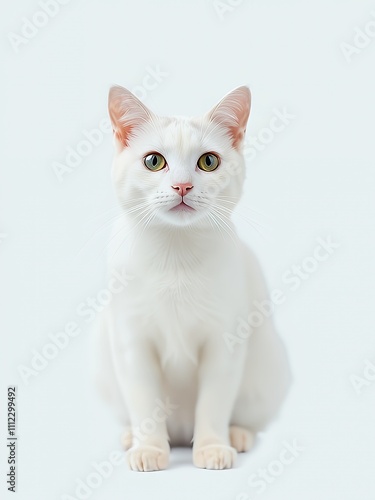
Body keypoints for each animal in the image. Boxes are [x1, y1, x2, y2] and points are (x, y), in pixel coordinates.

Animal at [96, 84, 290, 470]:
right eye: (153, 161)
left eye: (208, 161)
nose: (183, 186)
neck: (176, 254)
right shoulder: (132, 342)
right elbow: (145, 403)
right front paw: (149, 449)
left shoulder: (224, 342)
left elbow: (214, 402)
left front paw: (213, 447)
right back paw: (130, 437)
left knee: (247, 416)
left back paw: (237, 435)